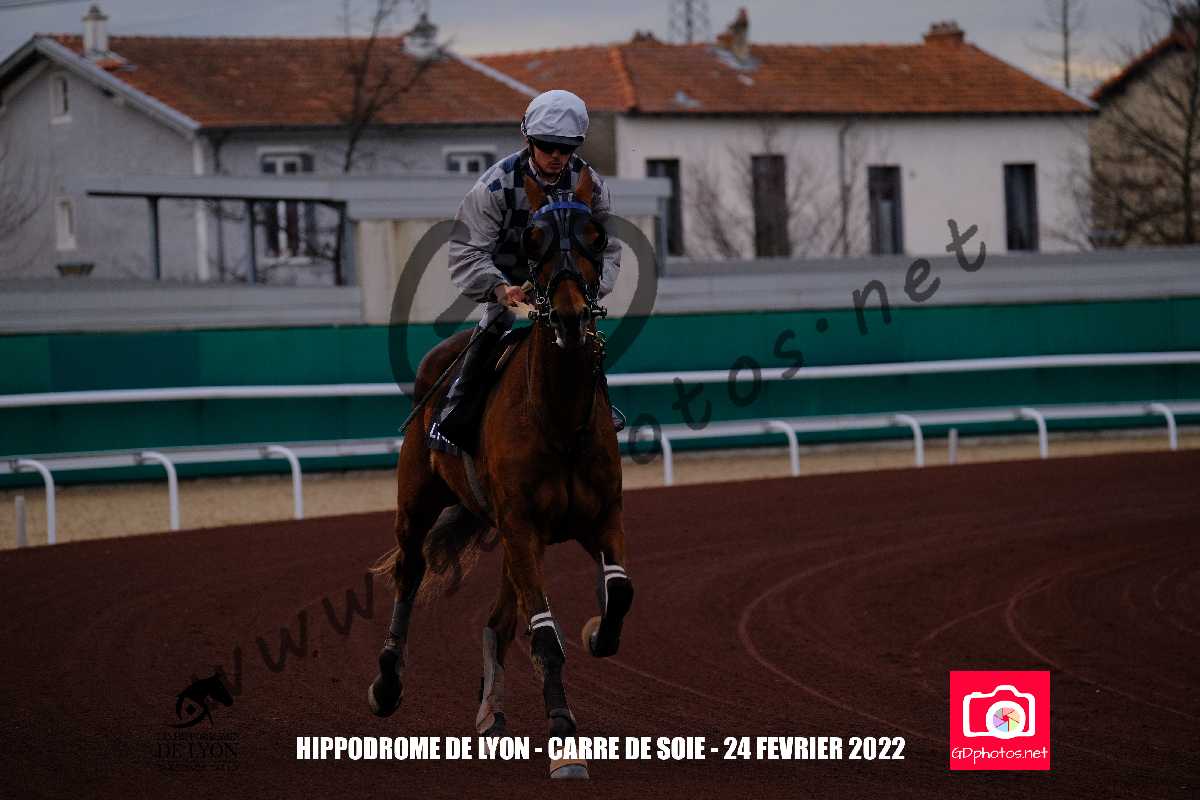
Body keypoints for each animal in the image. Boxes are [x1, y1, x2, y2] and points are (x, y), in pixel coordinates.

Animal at [367, 167, 634, 780]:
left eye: (596, 235)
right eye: (534, 239)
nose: (569, 315)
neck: (558, 418)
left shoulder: (599, 518)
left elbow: (619, 594)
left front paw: (595, 630)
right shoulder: (521, 526)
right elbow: (545, 639)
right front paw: (563, 739)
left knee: (498, 618)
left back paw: (491, 711)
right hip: (419, 505)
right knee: (410, 575)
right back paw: (388, 684)